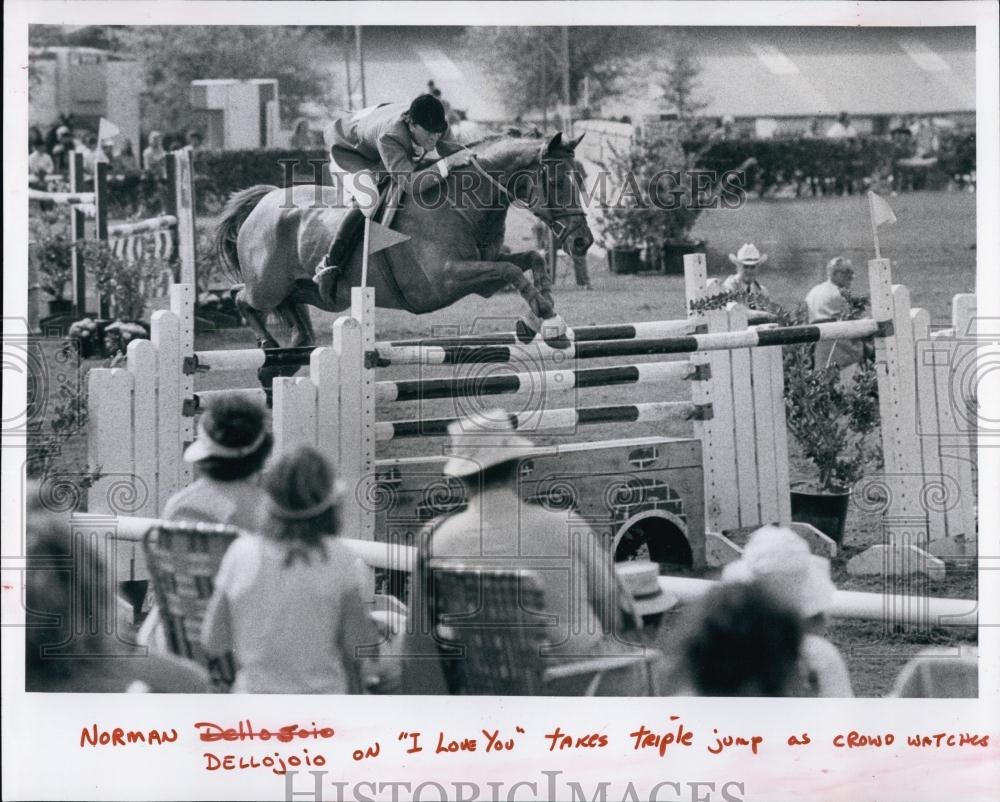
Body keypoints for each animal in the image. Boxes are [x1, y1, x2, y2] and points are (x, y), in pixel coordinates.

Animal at [214, 130, 588, 346]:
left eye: (582, 178)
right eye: (557, 181)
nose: (584, 242)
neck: (461, 205)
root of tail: (264, 201)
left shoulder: (484, 271)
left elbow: (531, 260)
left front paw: (538, 319)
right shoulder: (446, 278)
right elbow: (512, 271)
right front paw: (547, 316)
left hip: (318, 295)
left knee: (289, 308)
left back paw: (294, 339)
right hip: (267, 286)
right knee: (240, 297)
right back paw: (268, 343)